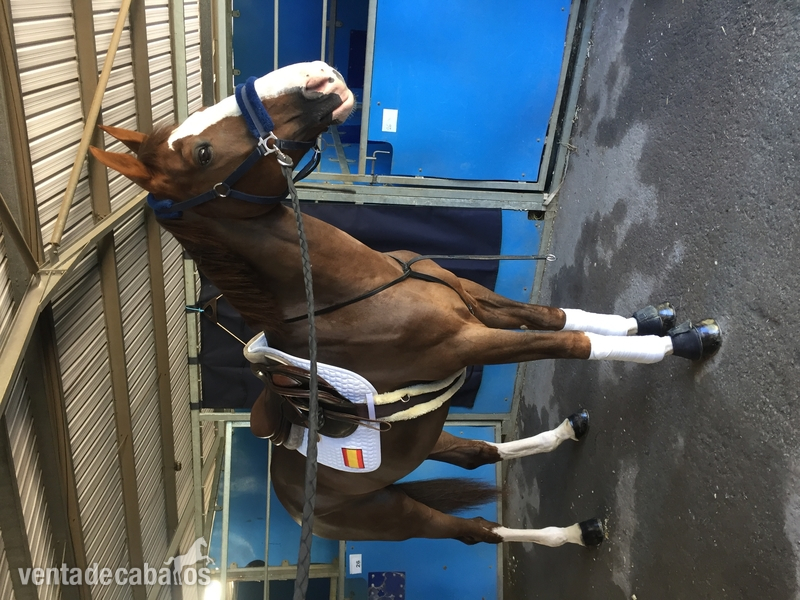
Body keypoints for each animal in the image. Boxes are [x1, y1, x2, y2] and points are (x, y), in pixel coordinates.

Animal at [90, 61, 720, 549]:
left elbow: (554, 317)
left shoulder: (475, 301)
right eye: (201, 152)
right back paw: (571, 533)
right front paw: (682, 342)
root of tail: (295, 506)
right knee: (474, 532)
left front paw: (646, 320)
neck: (355, 292)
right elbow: (569, 343)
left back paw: (567, 434)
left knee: (475, 455)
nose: (317, 77)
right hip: (399, 514)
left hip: (426, 437)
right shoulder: (469, 340)